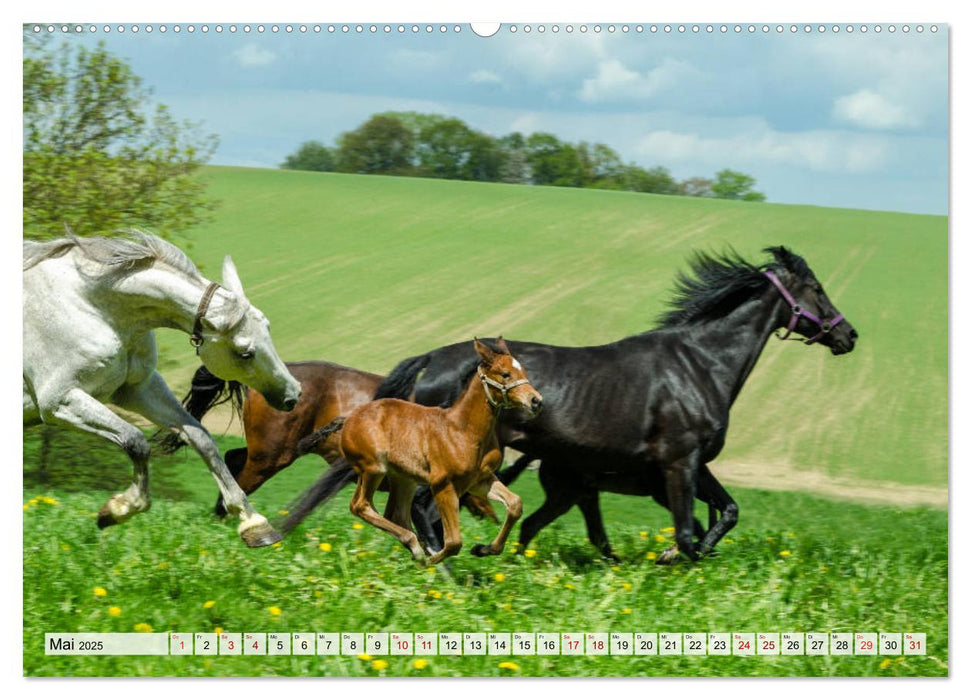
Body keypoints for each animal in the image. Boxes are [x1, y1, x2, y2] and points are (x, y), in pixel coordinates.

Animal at [24, 232, 302, 548]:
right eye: (245, 353)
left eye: (268, 327)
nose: (293, 394)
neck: (91, 305)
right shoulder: (58, 402)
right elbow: (135, 440)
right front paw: (118, 509)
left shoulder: (139, 389)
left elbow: (201, 438)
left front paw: (254, 523)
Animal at [298, 338, 540, 564]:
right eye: (505, 374)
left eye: (523, 371)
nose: (536, 400)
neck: (464, 429)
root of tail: (348, 419)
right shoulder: (442, 485)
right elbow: (453, 542)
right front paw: (432, 559)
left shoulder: (479, 481)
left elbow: (515, 504)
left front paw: (483, 549)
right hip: (373, 469)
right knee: (360, 505)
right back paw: (415, 547)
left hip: (404, 479)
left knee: (395, 514)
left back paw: (415, 546)